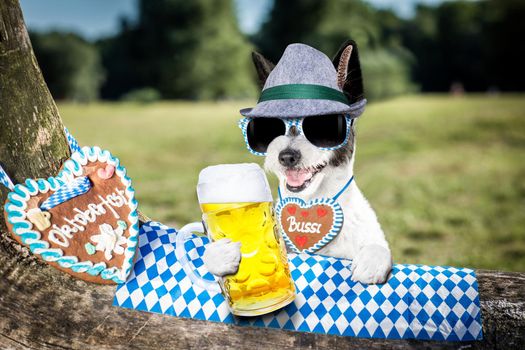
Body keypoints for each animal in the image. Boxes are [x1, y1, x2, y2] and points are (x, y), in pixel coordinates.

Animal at [203, 40, 390, 284]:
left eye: (323, 125)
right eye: (268, 127)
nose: (287, 156)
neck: (310, 203)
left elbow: (378, 245)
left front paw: (373, 259)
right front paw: (220, 255)